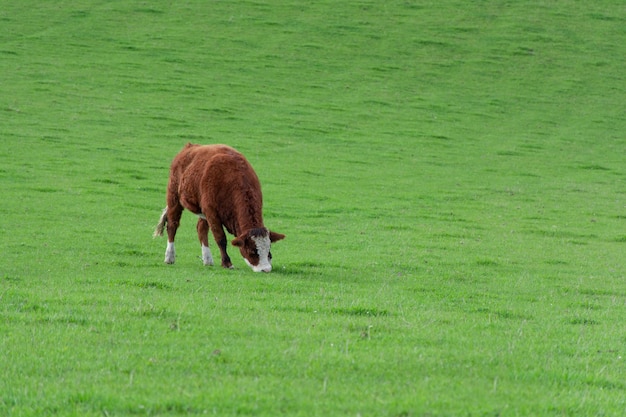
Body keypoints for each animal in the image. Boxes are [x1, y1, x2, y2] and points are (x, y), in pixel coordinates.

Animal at [154, 143, 286, 272]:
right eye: (252, 251)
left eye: (269, 250)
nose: (266, 269)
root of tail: (190, 147)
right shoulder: (212, 212)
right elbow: (221, 238)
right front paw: (227, 263)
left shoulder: (208, 211)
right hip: (173, 197)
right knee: (172, 225)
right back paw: (169, 256)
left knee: (201, 229)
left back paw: (207, 259)